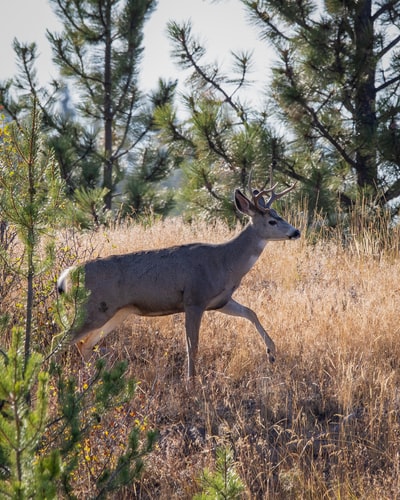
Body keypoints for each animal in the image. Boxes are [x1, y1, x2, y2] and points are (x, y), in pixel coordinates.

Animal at [56, 178, 300, 376]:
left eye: (279, 215)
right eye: (272, 221)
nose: (296, 232)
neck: (225, 262)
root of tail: (66, 276)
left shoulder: (219, 301)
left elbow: (251, 312)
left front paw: (271, 352)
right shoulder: (194, 298)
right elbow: (192, 345)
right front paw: (192, 382)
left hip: (116, 312)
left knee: (85, 344)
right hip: (92, 308)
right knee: (60, 341)